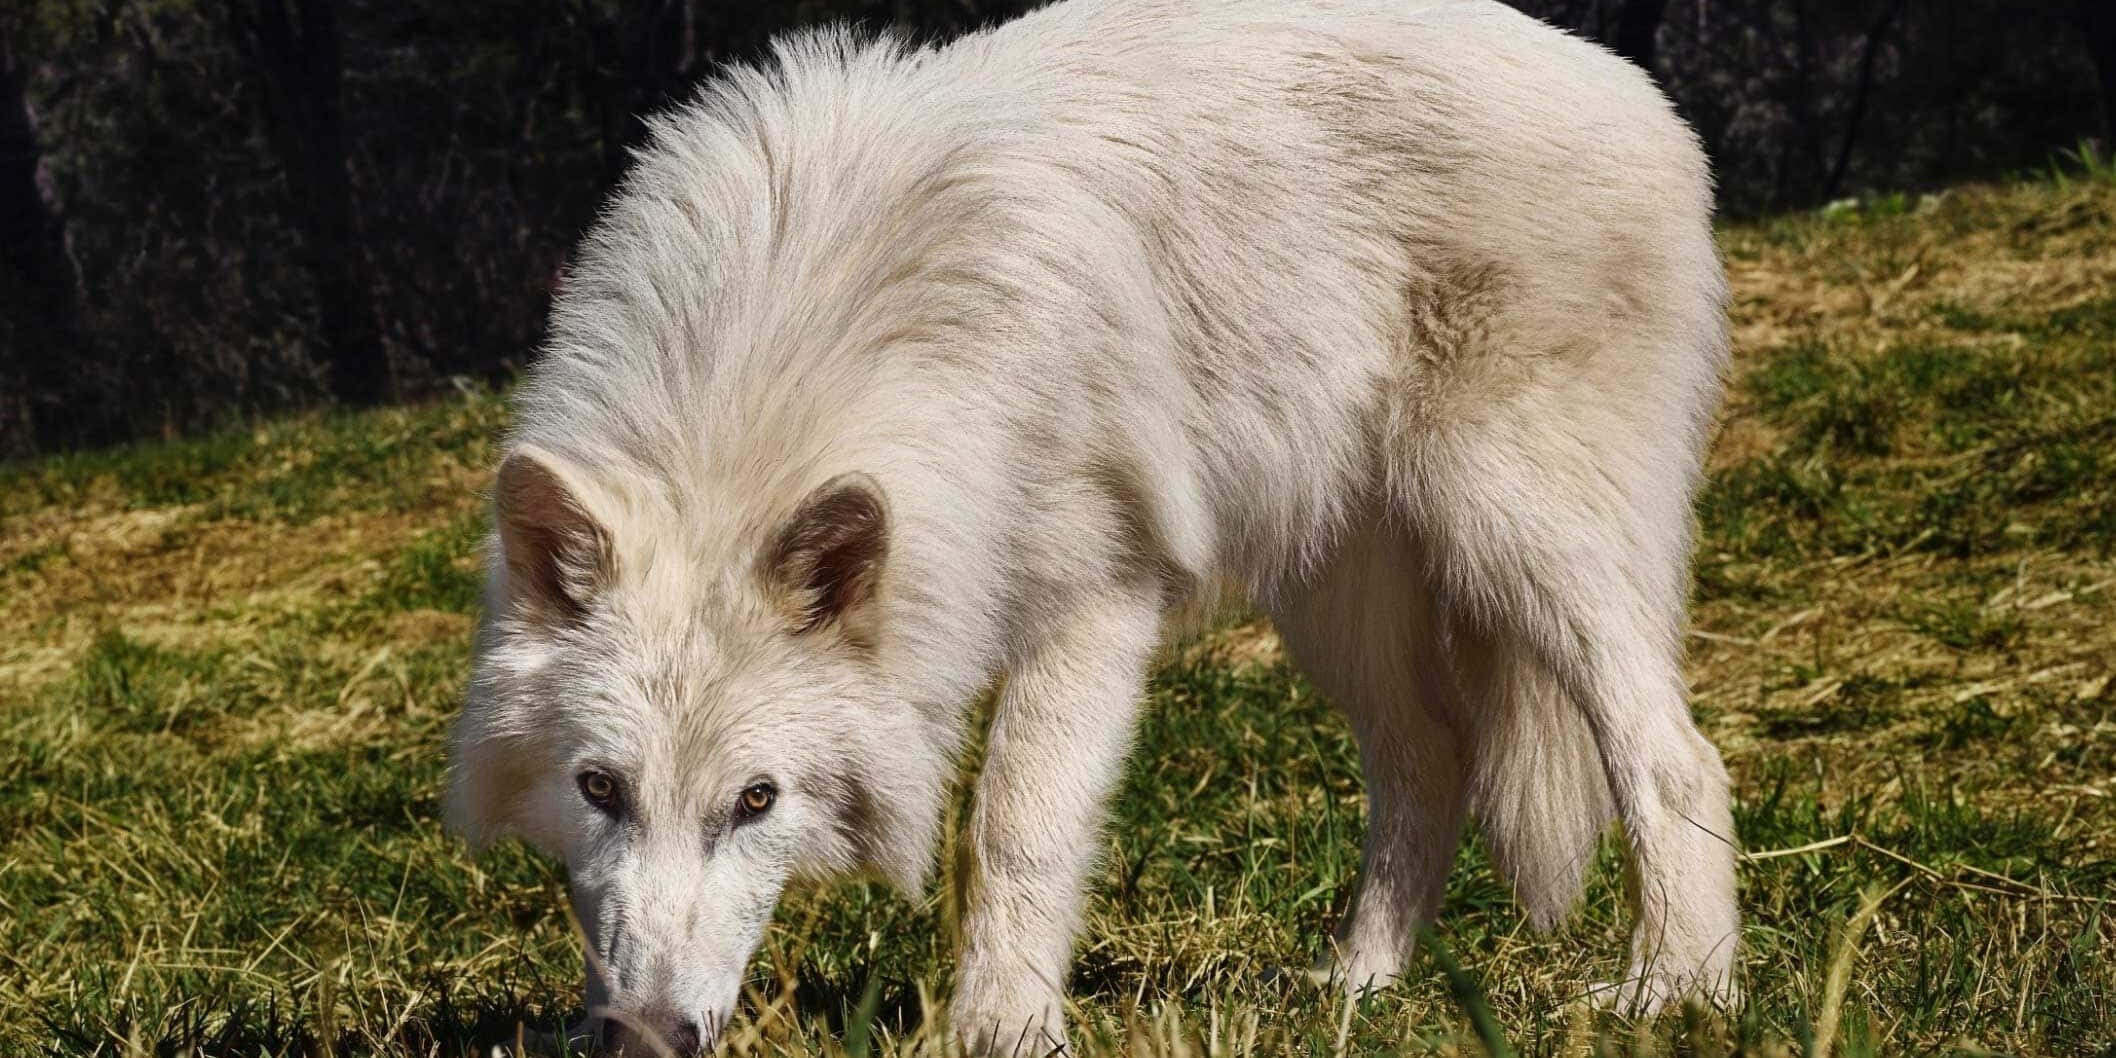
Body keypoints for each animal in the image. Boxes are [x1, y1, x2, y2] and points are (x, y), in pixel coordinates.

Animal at [447, 0, 1740, 1051]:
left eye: (756, 800)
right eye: (600, 786)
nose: (644, 1037)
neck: (796, 348)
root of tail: (1633, 87)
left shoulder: (1096, 602)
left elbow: (1016, 827)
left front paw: (1003, 1027)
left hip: (1518, 538)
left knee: (1673, 754)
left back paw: (1675, 990)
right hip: (1336, 599)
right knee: (1432, 756)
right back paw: (1358, 988)